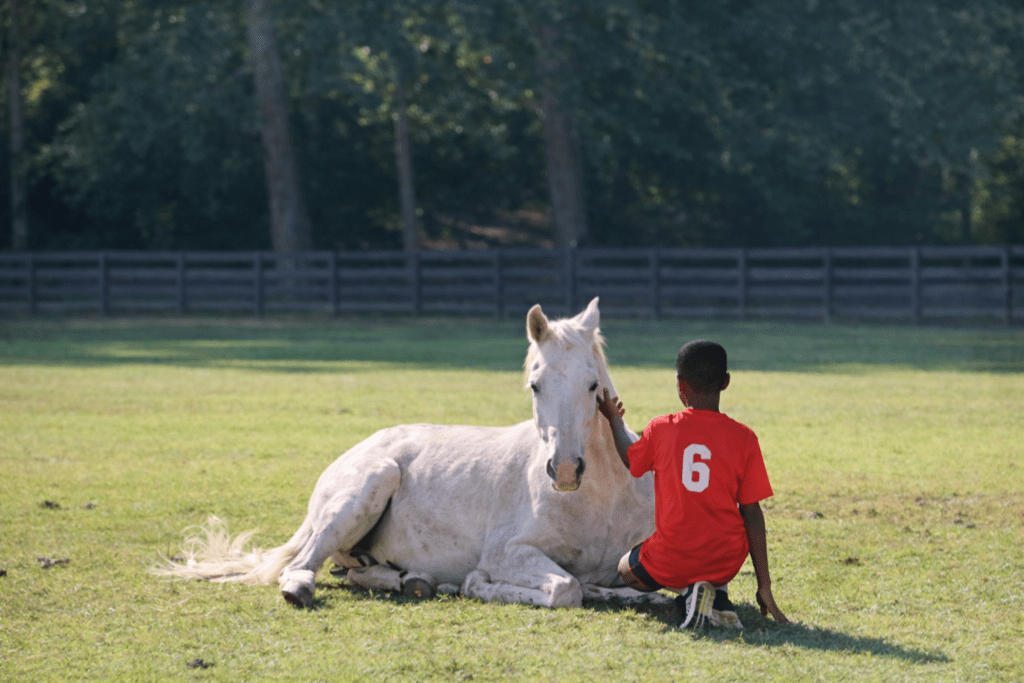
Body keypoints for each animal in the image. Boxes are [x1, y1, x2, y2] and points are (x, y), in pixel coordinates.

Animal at [157, 298, 661, 609]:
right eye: (535, 384)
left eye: (592, 386)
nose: (565, 470)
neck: (601, 497)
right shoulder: (508, 552)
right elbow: (564, 588)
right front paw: (477, 584)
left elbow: (625, 588)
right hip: (369, 486)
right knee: (303, 566)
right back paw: (307, 587)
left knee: (354, 571)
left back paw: (411, 581)